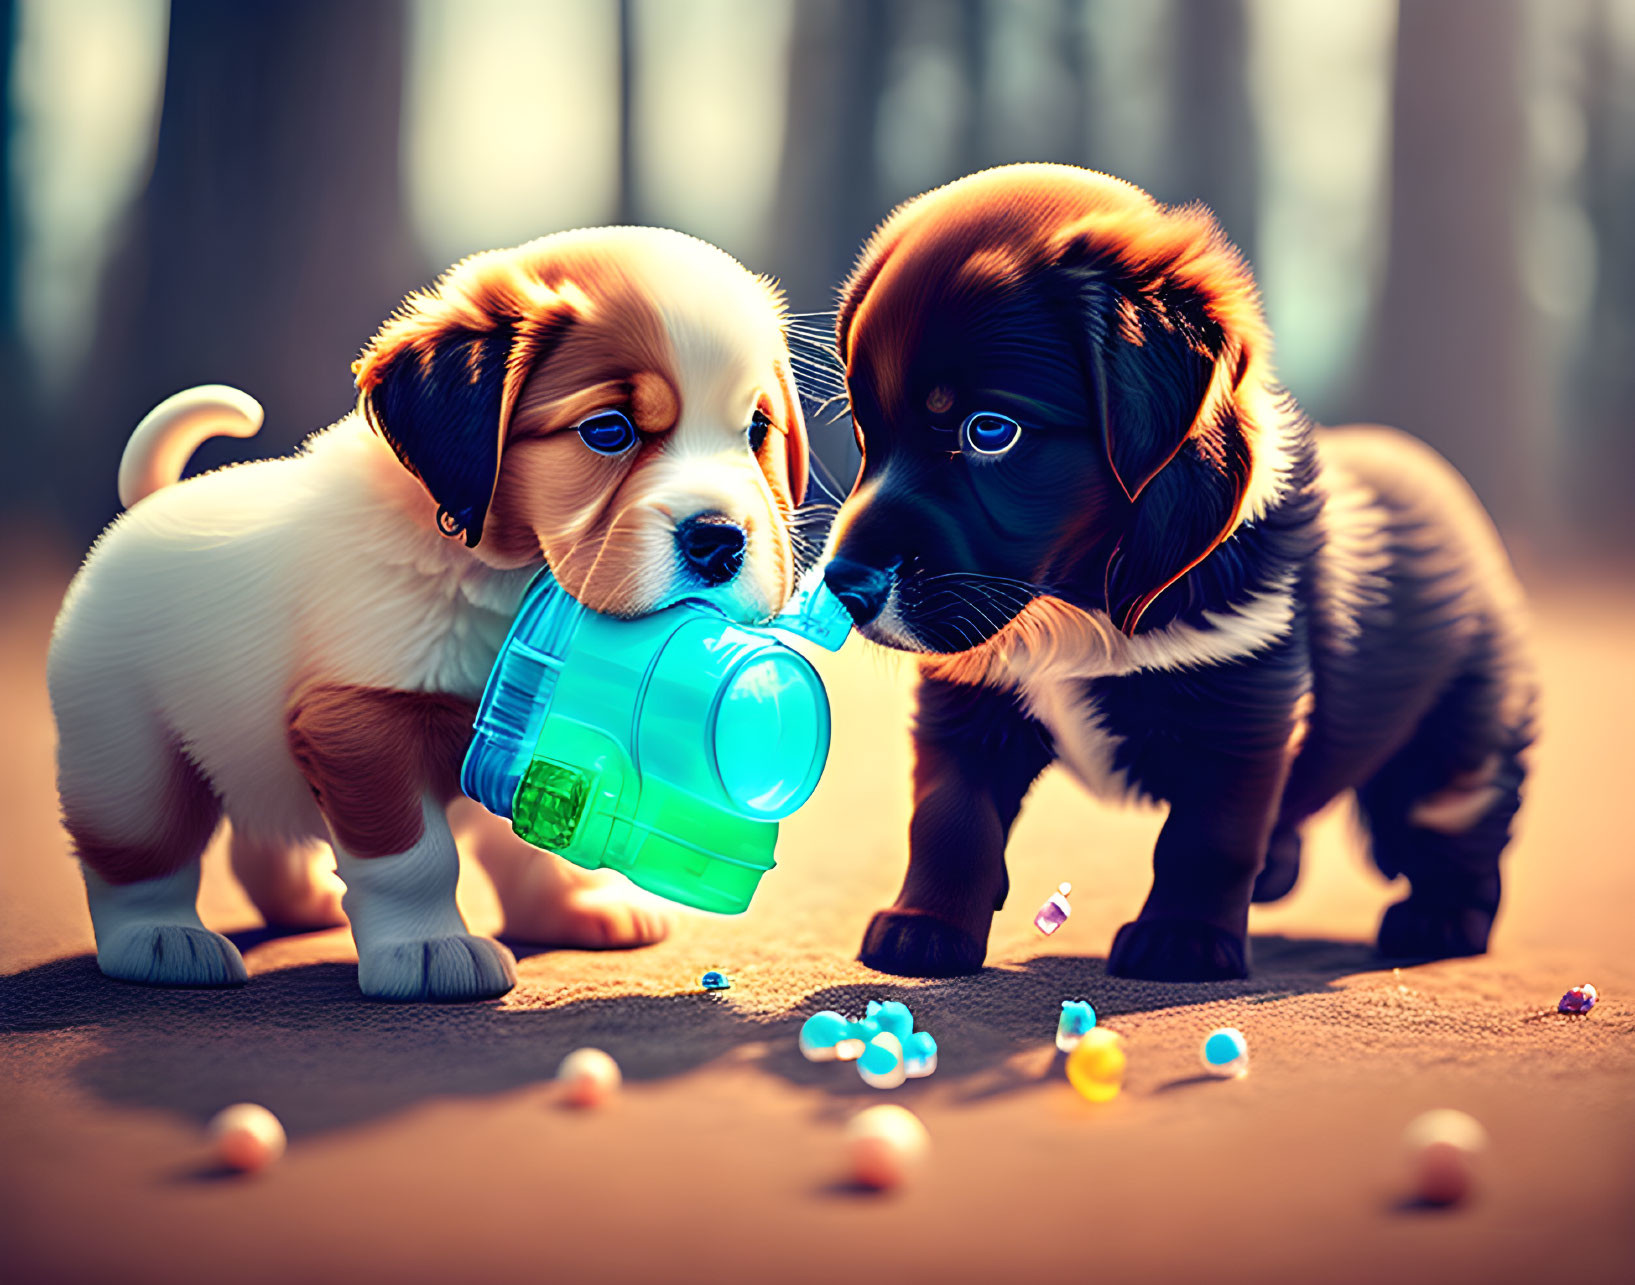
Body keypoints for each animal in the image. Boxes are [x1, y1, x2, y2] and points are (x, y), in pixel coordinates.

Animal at [51, 222, 810, 1000]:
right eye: (608, 430)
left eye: (756, 429)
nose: (721, 541)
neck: (501, 581)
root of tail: (147, 507)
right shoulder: (362, 723)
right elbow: (415, 856)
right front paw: (426, 949)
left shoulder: (530, 729)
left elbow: (531, 842)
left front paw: (571, 908)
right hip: (127, 754)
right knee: (137, 851)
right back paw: (161, 940)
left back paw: (300, 901)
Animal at [824, 162, 1536, 980]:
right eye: (864, 430)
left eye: (990, 431)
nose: (844, 586)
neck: (1077, 602)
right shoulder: (968, 700)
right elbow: (950, 817)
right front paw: (924, 927)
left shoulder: (1242, 709)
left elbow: (1207, 837)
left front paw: (1184, 940)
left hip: (1457, 741)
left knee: (1457, 825)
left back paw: (1439, 920)